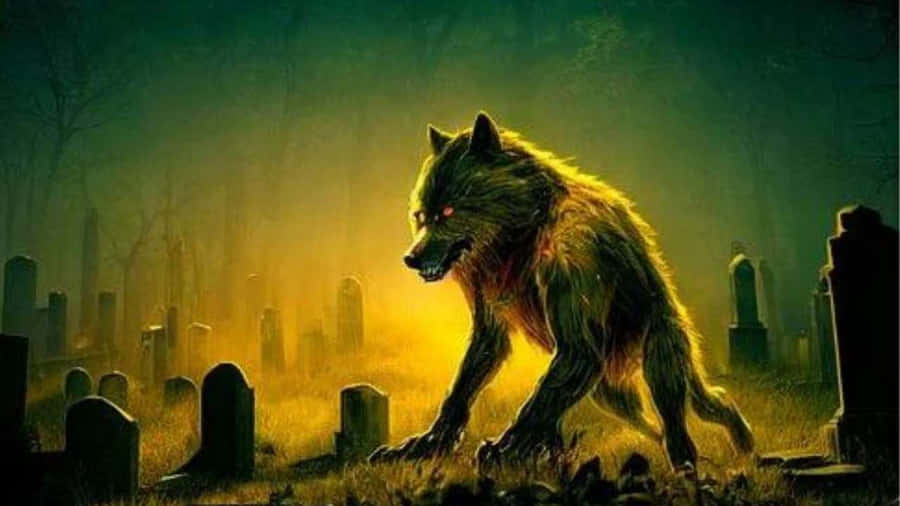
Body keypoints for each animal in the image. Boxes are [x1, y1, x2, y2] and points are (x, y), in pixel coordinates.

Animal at [370, 112, 754, 469]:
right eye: (420, 216)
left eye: (448, 211)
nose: (410, 258)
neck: (526, 230)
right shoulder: (489, 332)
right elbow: (461, 391)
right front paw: (427, 445)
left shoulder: (576, 314)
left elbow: (535, 404)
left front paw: (503, 449)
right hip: (611, 395)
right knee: (661, 424)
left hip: (657, 367)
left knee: (687, 424)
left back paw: (730, 448)